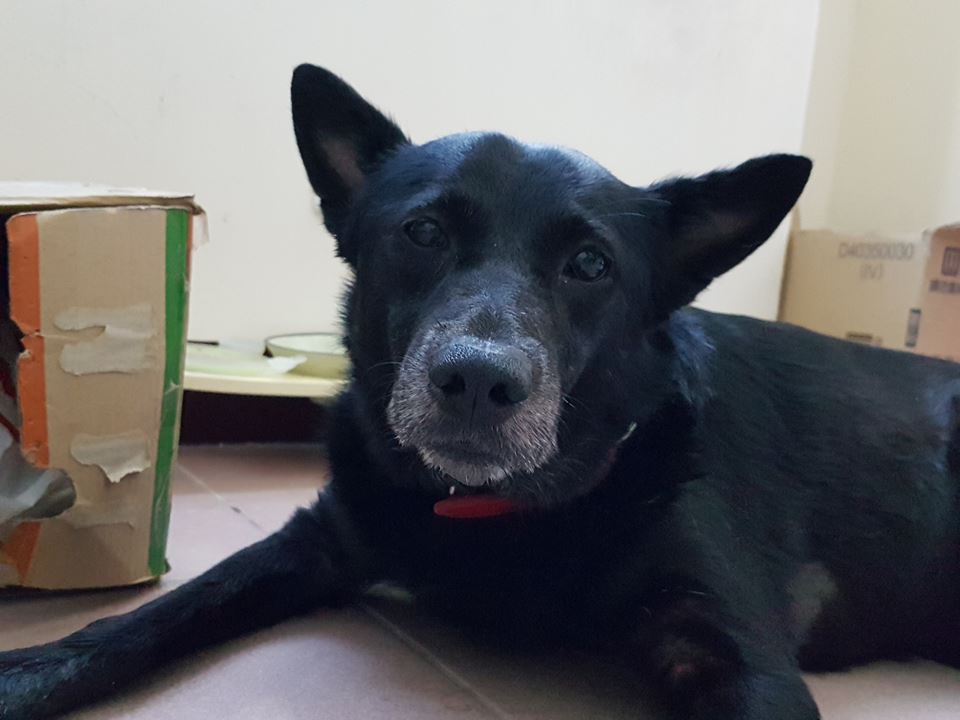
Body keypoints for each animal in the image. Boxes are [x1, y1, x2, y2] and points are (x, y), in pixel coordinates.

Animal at [2, 64, 959, 720]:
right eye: (422, 231)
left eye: (590, 264)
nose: (476, 381)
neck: (489, 510)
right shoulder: (319, 537)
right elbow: (164, 610)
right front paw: (31, 671)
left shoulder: (736, 655)